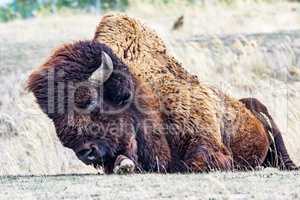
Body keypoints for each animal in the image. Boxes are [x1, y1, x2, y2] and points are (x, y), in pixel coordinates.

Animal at [27, 14, 296, 173]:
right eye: (52, 116)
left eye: (89, 102)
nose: (86, 153)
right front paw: (124, 165)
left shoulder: (208, 144)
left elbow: (194, 163)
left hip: (267, 121)